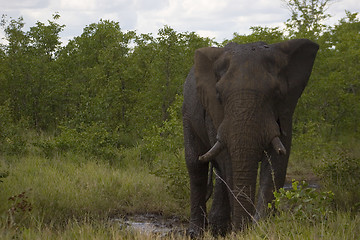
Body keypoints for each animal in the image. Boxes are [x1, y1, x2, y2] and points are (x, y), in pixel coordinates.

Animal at [183, 38, 318, 235]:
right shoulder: (214, 113)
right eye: (218, 95)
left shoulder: (284, 111)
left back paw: (218, 229)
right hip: (187, 112)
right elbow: (228, 163)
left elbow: (277, 163)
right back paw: (196, 233)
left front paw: (261, 227)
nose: (242, 229)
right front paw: (244, 230)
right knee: (196, 164)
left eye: (277, 93)